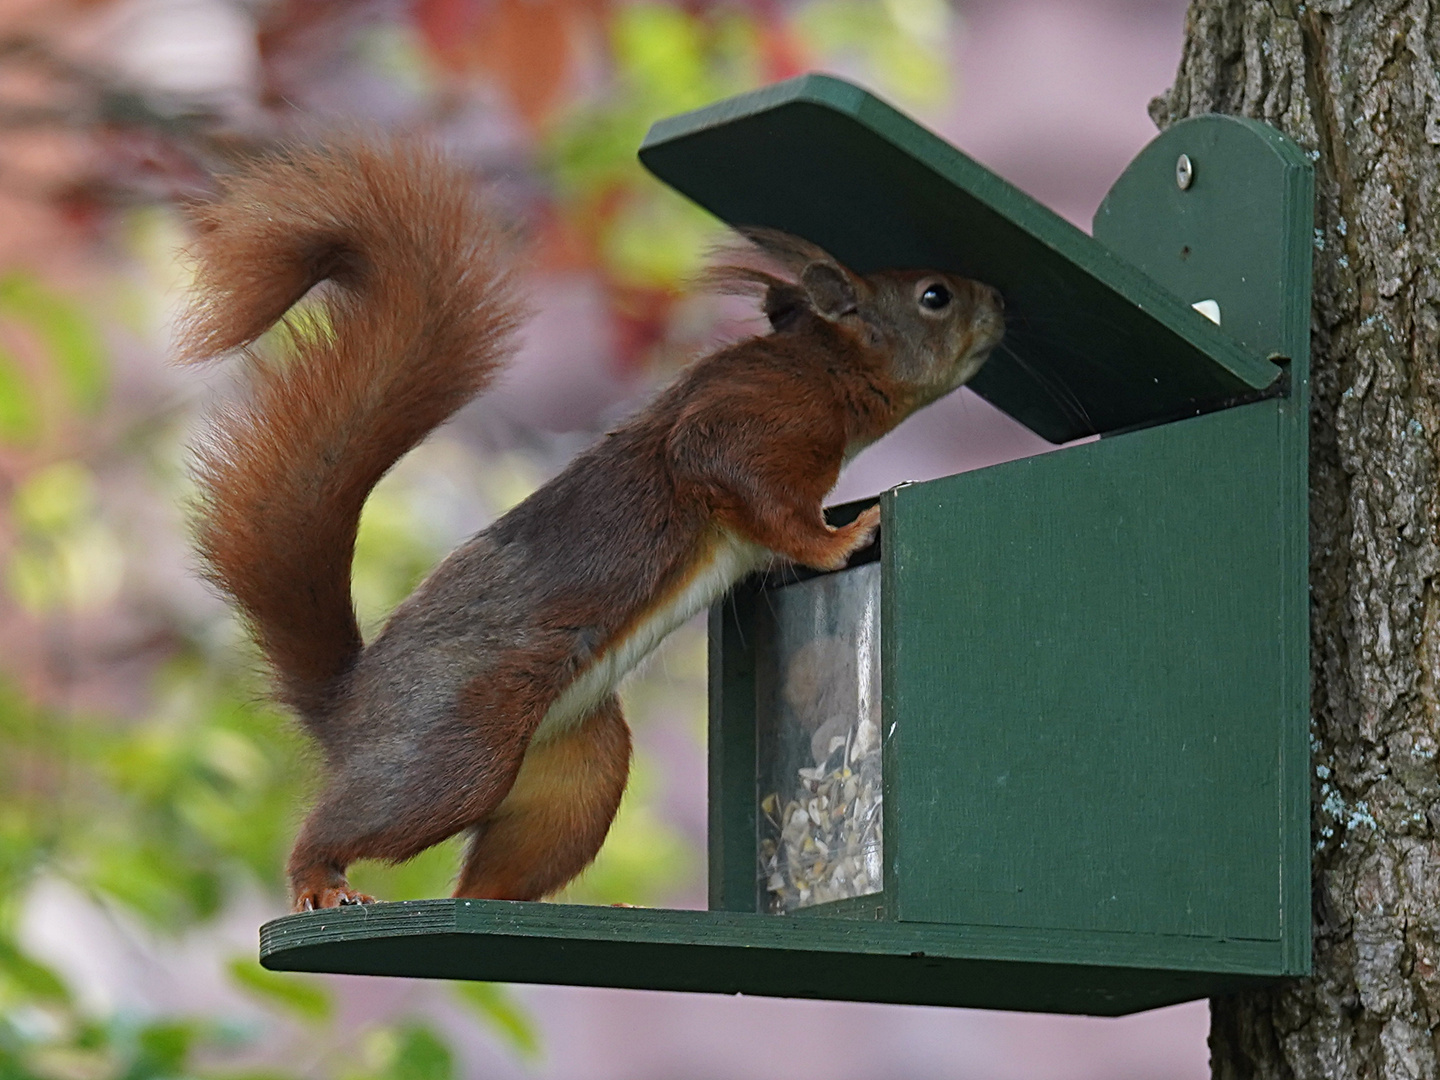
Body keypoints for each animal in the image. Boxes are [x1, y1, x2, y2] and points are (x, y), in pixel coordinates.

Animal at [180, 137, 1008, 915]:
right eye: (934, 295)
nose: (1000, 300)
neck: (828, 368)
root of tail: (345, 706)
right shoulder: (751, 421)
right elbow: (752, 492)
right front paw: (844, 539)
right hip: (454, 749)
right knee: (361, 817)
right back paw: (318, 879)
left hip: (576, 773)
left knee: (491, 880)